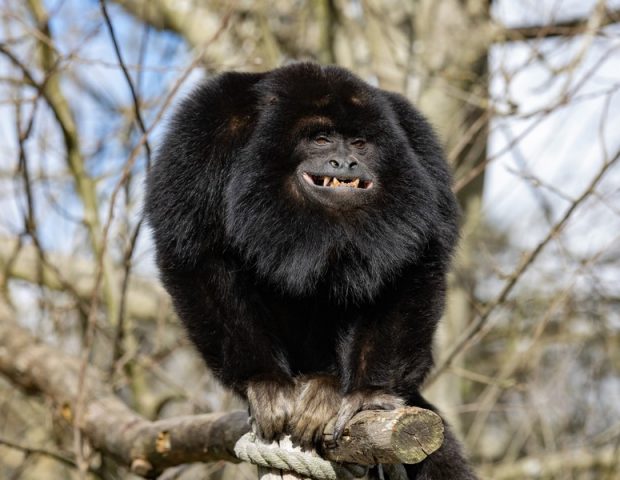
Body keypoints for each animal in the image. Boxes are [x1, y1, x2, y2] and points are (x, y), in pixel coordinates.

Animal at [148, 63, 478, 480]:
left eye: (359, 144)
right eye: (320, 140)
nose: (345, 163)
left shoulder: (419, 147)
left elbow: (411, 266)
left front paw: (368, 393)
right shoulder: (205, 129)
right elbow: (198, 256)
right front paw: (265, 382)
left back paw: (327, 386)